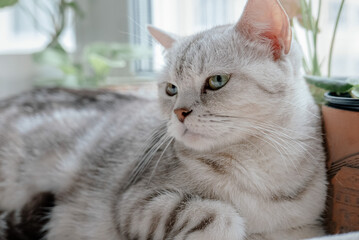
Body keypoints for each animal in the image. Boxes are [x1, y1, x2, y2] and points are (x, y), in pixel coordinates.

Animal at [0, 0, 330, 239]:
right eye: (171, 88)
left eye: (217, 81)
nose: (179, 113)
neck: (260, 169)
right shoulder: (137, 202)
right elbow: (218, 216)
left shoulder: (307, 227)